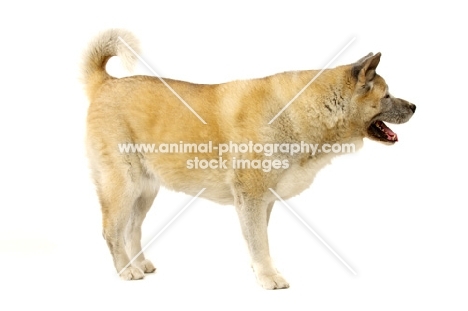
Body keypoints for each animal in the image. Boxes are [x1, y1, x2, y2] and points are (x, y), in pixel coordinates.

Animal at [82, 28, 414, 290]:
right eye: (386, 95)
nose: (414, 106)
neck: (302, 111)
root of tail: (106, 83)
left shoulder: (263, 201)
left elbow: (258, 240)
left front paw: (259, 271)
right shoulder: (251, 198)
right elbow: (259, 241)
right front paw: (269, 277)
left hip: (145, 191)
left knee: (131, 230)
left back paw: (140, 264)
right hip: (122, 186)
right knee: (112, 231)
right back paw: (126, 270)